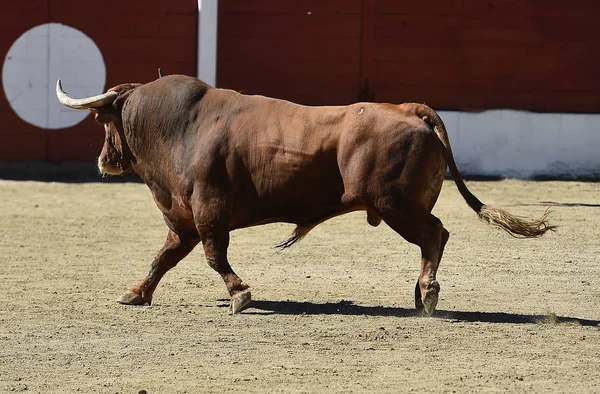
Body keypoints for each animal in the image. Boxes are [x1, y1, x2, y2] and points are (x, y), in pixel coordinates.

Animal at [55, 74, 552, 314]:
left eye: (102, 120)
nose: (103, 161)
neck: (181, 127)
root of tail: (410, 108)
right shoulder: (183, 220)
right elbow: (163, 257)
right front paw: (136, 294)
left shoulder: (208, 212)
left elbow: (214, 257)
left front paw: (240, 294)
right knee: (435, 237)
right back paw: (419, 293)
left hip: (396, 205)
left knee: (435, 234)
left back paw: (427, 294)